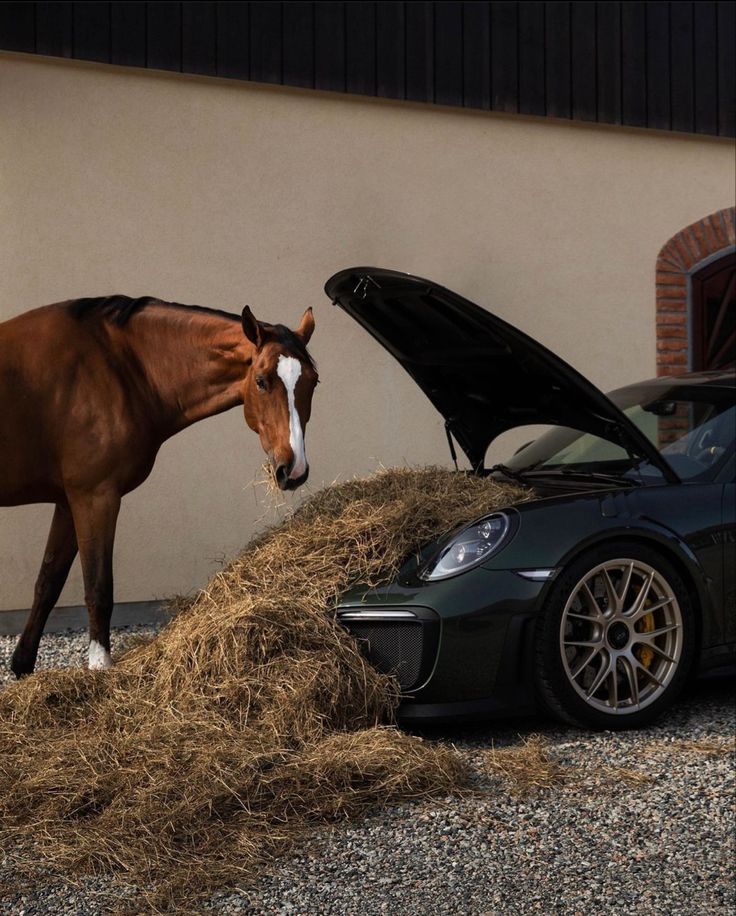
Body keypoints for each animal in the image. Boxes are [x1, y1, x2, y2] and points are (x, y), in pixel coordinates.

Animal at [0, 294, 316, 672]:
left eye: (313, 382)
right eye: (262, 380)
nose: (293, 468)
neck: (116, 366)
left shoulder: (67, 501)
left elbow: (48, 582)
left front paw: (22, 666)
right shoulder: (95, 497)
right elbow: (98, 588)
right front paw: (100, 666)